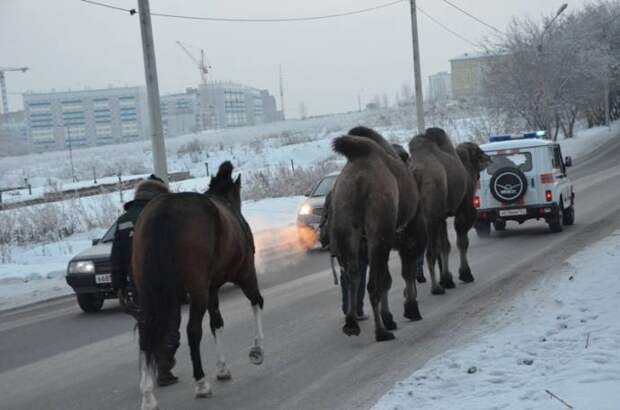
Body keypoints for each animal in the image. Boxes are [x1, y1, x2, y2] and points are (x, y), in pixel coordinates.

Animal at [133, 161, 264, 410]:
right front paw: (257, 350)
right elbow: (257, 302)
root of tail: (165, 210)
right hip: (197, 291)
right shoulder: (245, 274)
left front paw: (222, 368)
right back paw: (201, 382)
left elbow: (217, 323)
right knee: (193, 330)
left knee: (145, 336)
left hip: (149, 292)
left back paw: (147, 395)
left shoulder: (212, 288)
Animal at [330, 125, 426, 342]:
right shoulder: (408, 236)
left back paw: (352, 324)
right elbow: (405, 273)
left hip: (348, 226)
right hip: (380, 229)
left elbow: (387, 280)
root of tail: (359, 179)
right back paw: (381, 332)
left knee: (353, 275)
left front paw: (390, 317)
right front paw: (411, 310)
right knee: (373, 284)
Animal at [410, 128, 492, 294]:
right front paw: (465, 274)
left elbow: (445, 246)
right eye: (479, 152)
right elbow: (462, 241)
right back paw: (436, 288)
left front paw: (447, 279)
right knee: (430, 252)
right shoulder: (463, 209)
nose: (489, 157)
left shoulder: (442, 216)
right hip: (430, 217)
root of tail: (416, 173)